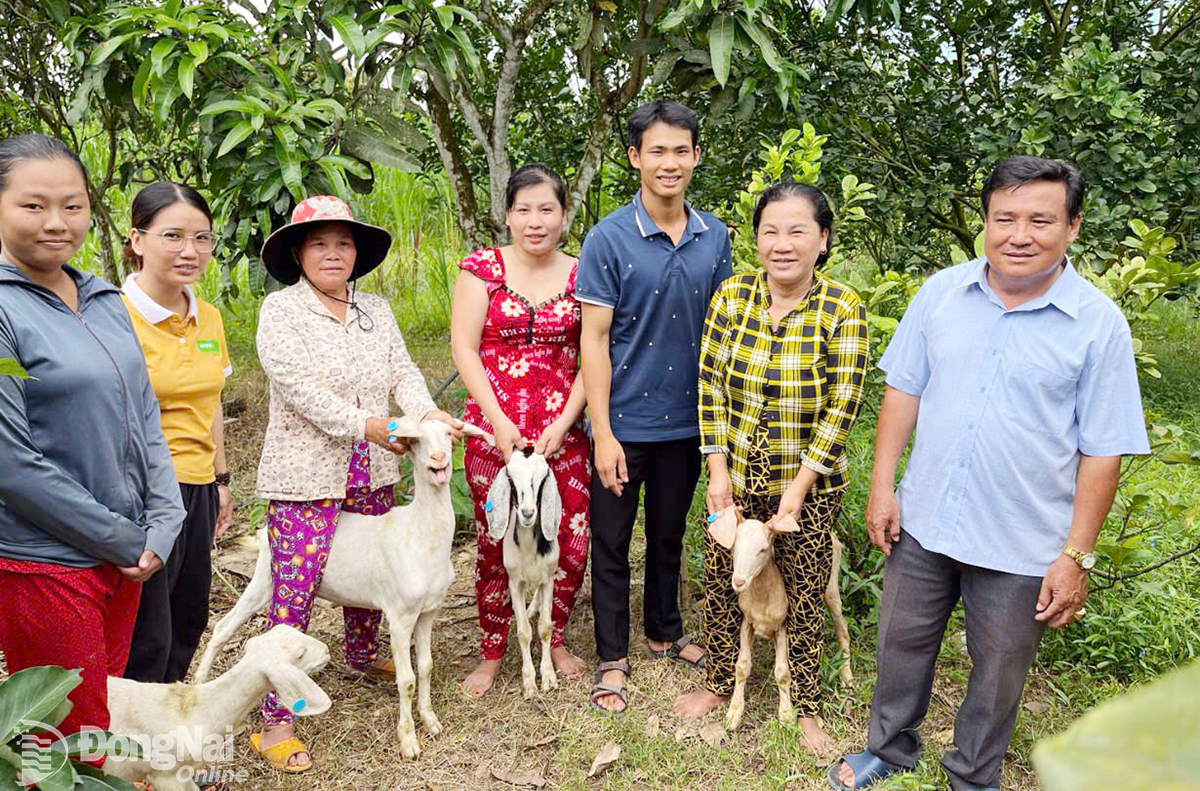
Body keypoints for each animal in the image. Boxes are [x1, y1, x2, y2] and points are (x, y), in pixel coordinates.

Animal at [194, 417, 470, 758]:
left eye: (448, 434)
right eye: (415, 441)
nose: (439, 459)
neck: (419, 534)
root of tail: (263, 533)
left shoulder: (428, 611)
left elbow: (426, 667)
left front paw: (431, 722)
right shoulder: (400, 614)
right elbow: (406, 680)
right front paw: (408, 741)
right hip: (268, 578)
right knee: (225, 627)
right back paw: (201, 685)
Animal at [482, 451, 561, 700]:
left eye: (542, 479)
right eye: (512, 480)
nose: (527, 513)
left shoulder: (548, 579)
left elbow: (545, 627)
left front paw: (548, 677)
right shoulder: (514, 582)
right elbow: (524, 632)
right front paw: (529, 683)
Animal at [705, 506, 859, 729]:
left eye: (763, 549)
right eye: (734, 547)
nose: (739, 582)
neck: (763, 597)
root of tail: (832, 533)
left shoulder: (783, 626)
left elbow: (783, 672)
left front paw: (786, 716)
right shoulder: (747, 622)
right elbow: (741, 667)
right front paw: (733, 715)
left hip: (830, 587)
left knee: (843, 630)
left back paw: (847, 684)